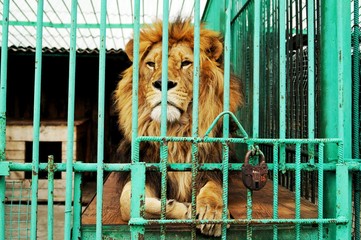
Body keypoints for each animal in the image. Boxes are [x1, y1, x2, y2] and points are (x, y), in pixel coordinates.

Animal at [112, 18, 242, 236]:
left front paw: (213, 212)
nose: (162, 83)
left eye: (185, 63)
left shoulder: (213, 167)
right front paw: (185, 210)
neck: (176, 132)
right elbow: (128, 202)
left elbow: (215, 189)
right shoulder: (148, 173)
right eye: (151, 64)